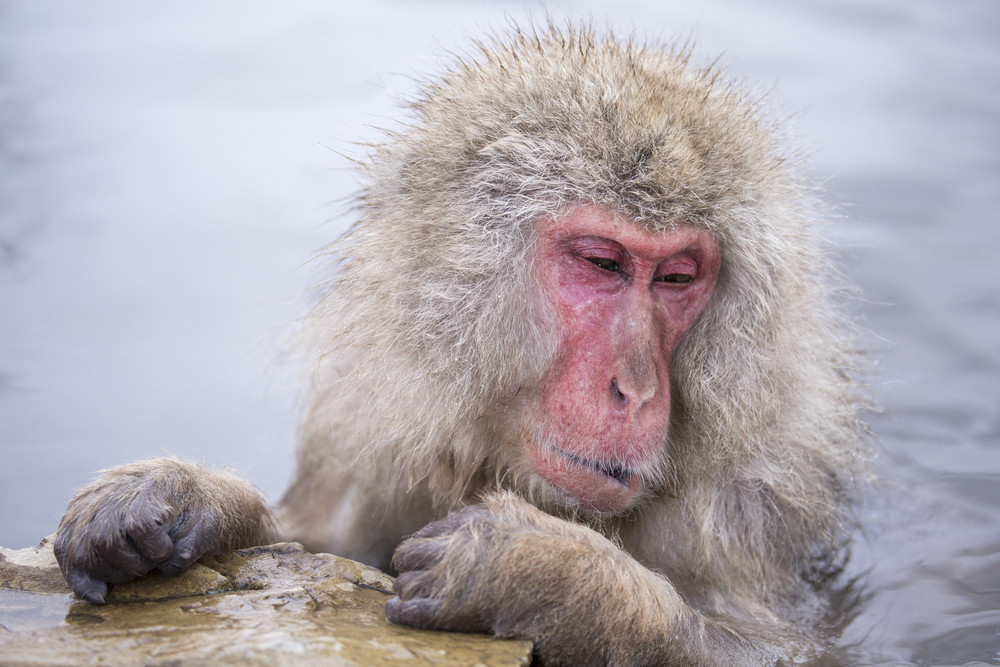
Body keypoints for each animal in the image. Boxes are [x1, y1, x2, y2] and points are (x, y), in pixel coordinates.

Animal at [52, 23, 868, 664]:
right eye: (603, 263)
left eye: (675, 277)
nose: (635, 388)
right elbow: (319, 540)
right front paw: (188, 495)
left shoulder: (744, 503)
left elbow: (796, 648)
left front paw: (549, 574)